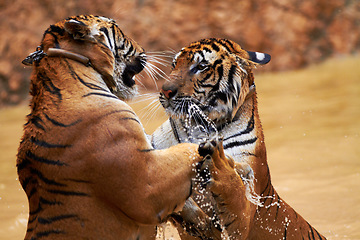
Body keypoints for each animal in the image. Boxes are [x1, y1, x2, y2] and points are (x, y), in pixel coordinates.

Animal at [150, 38, 326, 239]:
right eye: (174, 65)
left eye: (201, 66)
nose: (165, 91)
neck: (198, 127)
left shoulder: (244, 215)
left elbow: (235, 191)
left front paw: (218, 166)